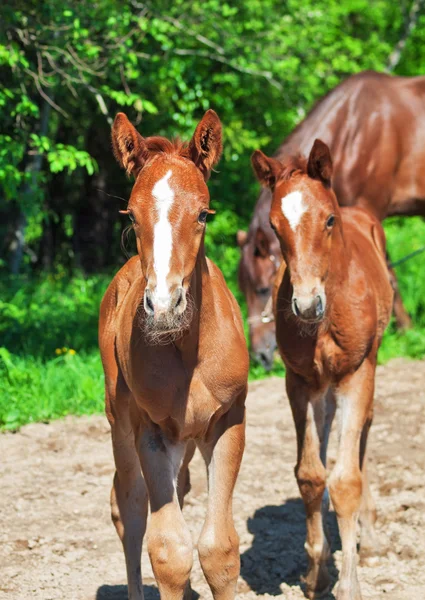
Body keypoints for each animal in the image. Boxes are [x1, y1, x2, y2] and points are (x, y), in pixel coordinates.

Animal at [99, 110, 248, 596]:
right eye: (131, 213)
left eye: (203, 213)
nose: (164, 305)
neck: (188, 352)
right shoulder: (152, 432)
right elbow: (170, 552)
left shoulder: (227, 422)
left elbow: (220, 549)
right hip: (121, 422)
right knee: (128, 507)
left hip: (187, 439)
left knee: (178, 491)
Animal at [238, 71, 424, 370]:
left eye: (263, 289)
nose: (261, 356)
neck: (355, 127)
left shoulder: (370, 208)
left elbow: (389, 273)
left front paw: (406, 330)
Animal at [250, 139, 392, 600]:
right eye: (275, 227)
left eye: (329, 220)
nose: (307, 305)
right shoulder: (298, 381)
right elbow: (311, 474)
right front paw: (317, 572)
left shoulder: (356, 375)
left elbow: (346, 480)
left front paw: (349, 583)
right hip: (322, 386)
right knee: (328, 426)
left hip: (367, 368)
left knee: (362, 432)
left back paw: (370, 535)